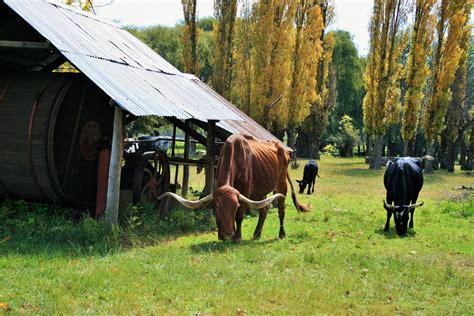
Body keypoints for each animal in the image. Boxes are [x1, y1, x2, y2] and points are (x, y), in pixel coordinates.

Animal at [157, 133, 310, 242]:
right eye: (216, 207)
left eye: (235, 206)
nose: (227, 235)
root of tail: (284, 150)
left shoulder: (245, 192)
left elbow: (240, 216)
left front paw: (237, 237)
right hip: (260, 189)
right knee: (264, 208)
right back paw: (257, 234)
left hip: (281, 185)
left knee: (281, 210)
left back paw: (281, 234)